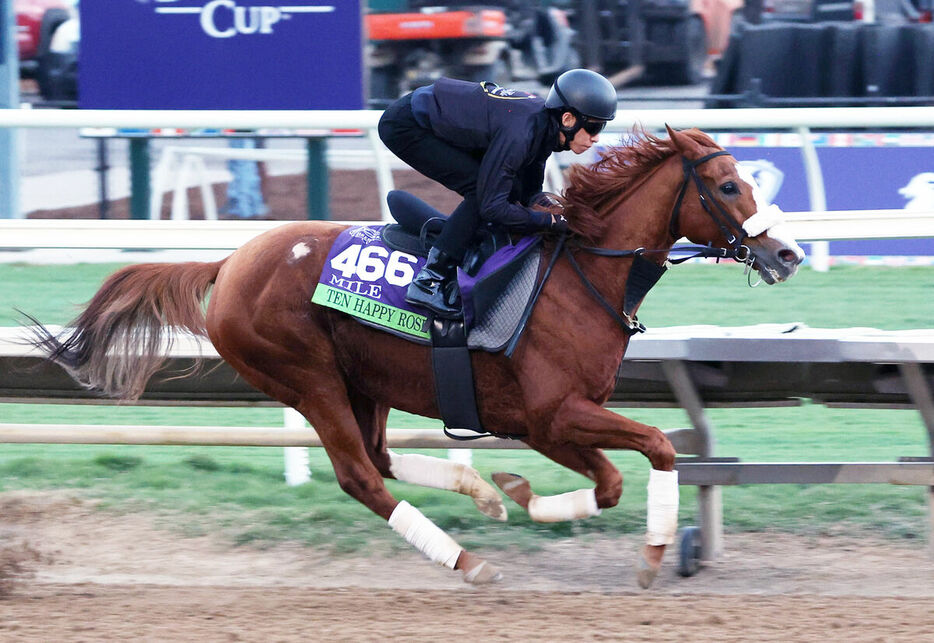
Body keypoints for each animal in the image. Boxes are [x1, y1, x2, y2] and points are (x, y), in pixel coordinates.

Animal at [27, 126, 804, 588]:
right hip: (308, 379)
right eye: (729, 186)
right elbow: (651, 454)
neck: (583, 272)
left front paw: (517, 491)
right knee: (360, 477)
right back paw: (466, 560)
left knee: (380, 458)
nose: (788, 254)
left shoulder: (551, 421)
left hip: (362, 382)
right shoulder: (553, 414)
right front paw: (651, 555)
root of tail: (230, 260)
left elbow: (614, 478)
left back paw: (480, 494)